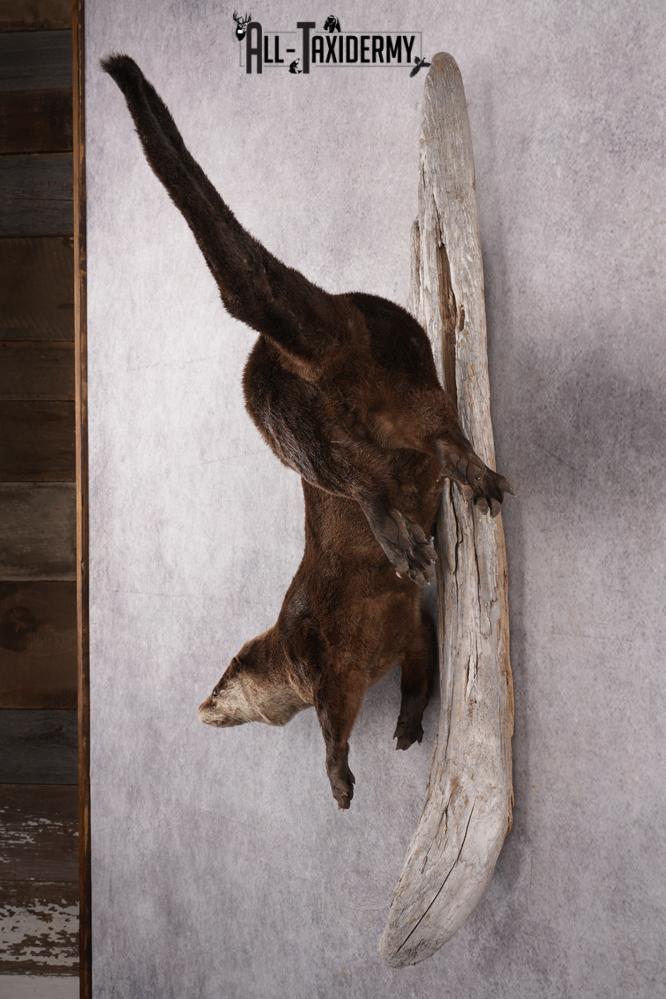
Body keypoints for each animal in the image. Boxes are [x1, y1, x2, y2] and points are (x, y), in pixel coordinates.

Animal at [102, 55, 512, 808]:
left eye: (218, 689)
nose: (202, 709)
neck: (291, 654)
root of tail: (312, 343)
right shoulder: (411, 631)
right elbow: (421, 664)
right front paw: (409, 725)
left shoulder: (320, 663)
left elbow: (330, 719)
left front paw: (339, 777)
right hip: (388, 372)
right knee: (428, 438)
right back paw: (465, 489)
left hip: (276, 408)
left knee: (364, 473)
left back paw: (406, 538)